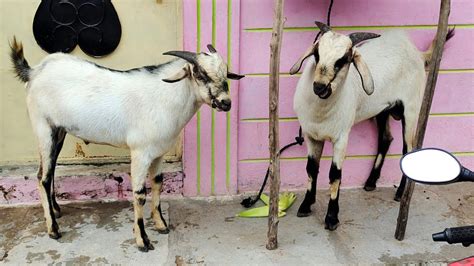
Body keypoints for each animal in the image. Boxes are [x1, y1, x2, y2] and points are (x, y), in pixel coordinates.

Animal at [10, 39, 244, 251]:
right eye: (200, 74)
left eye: (226, 73)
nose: (226, 103)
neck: (164, 97)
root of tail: (34, 72)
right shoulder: (140, 153)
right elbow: (139, 194)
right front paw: (142, 240)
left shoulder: (158, 153)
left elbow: (158, 183)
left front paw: (161, 225)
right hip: (44, 129)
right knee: (42, 178)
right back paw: (53, 229)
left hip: (59, 132)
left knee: (48, 172)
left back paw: (56, 210)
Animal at [288, 21, 452, 231]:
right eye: (317, 54)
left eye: (344, 60)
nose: (320, 87)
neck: (321, 112)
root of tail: (416, 52)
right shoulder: (311, 135)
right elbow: (311, 169)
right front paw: (306, 205)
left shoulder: (342, 137)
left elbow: (335, 174)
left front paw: (332, 218)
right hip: (382, 110)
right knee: (386, 138)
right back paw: (371, 182)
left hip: (412, 109)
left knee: (408, 148)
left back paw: (400, 193)